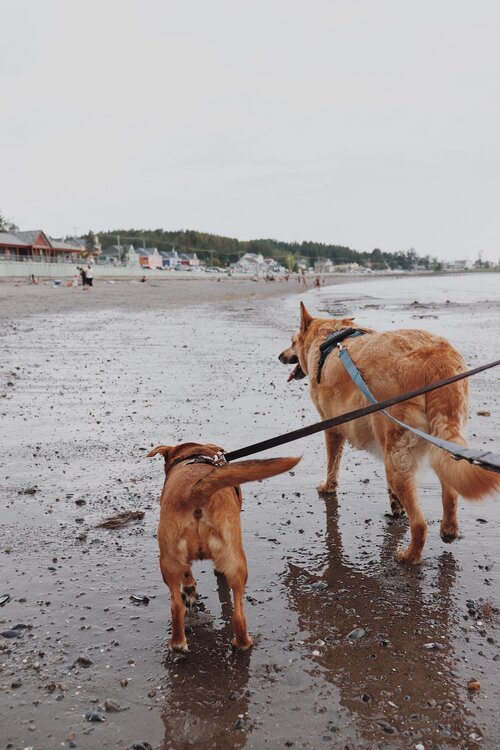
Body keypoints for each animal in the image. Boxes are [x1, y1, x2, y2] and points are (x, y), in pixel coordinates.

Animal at [146, 440, 298, 652]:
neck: (194, 453)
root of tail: (195, 491)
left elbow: (188, 576)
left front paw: (190, 589)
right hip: (236, 563)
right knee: (238, 615)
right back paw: (242, 643)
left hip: (170, 561)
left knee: (177, 607)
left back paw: (178, 643)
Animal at [280, 302, 498, 568]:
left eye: (292, 341)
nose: (280, 356)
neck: (329, 338)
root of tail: (438, 361)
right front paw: (395, 504)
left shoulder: (332, 428)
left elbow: (333, 463)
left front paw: (328, 487)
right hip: (430, 443)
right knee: (450, 488)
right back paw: (448, 528)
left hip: (396, 455)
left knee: (419, 522)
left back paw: (410, 556)